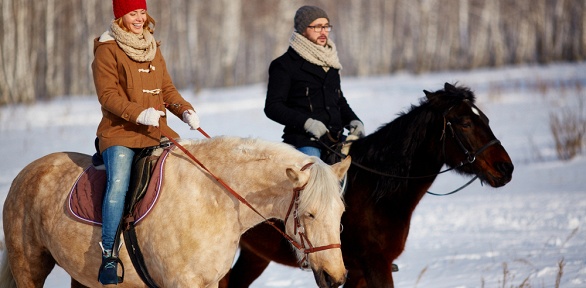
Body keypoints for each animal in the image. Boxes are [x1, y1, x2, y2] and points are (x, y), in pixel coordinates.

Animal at [2, 136, 350, 286]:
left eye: (341, 215)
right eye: (310, 214)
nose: (336, 277)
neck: (213, 198)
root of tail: (26, 174)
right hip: (28, 267)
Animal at [221, 83, 512, 288]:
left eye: (485, 119)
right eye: (465, 123)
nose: (505, 168)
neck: (375, 193)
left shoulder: (357, 272)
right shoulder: (375, 266)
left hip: (255, 256)